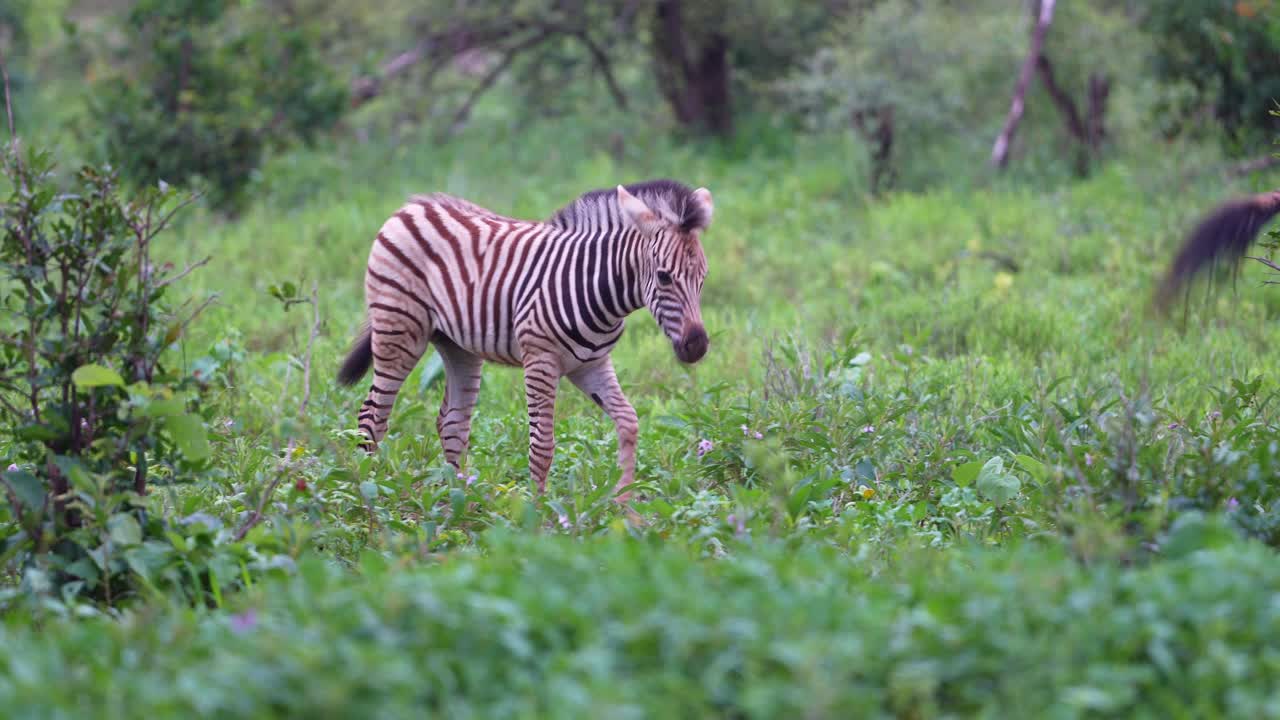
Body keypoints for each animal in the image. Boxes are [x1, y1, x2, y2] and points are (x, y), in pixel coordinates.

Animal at [335, 179, 714, 502]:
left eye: (703, 278)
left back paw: (459, 502)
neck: (597, 289)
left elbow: (628, 423)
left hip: (459, 347)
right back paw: (368, 493)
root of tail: (411, 206)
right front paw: (538, 517)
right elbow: (542, 444)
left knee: (452, 423)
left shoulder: (590, 365)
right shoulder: (541, 360)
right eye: (664, 277)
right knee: (372, 416)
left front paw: (626, 508)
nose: (697, 347)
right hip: (399, 329)